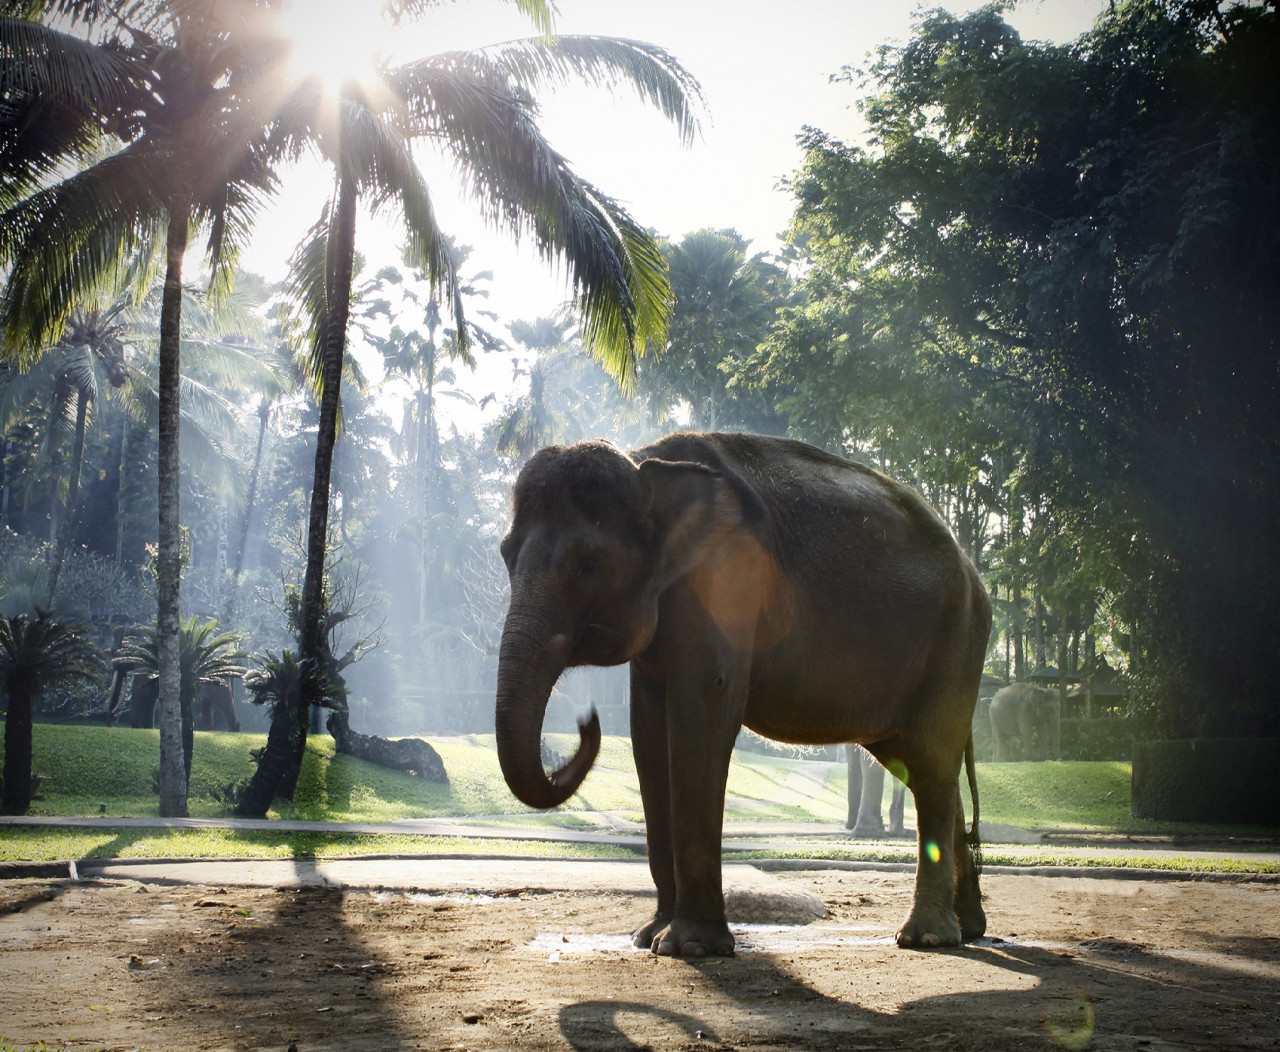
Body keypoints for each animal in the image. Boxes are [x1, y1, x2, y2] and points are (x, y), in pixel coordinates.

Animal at [488, 432, 988, 957]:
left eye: (588, 564)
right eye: (505, 554)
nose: (587, 721)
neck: (647, 462)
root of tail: (972, 569)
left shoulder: (726, 579)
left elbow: (704, 708)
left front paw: (688, 946)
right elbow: (649, 732)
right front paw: (648, 937)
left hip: (956, 645)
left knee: (932, 762)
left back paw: (926, 938)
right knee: (922, 767)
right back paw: (969, 928)